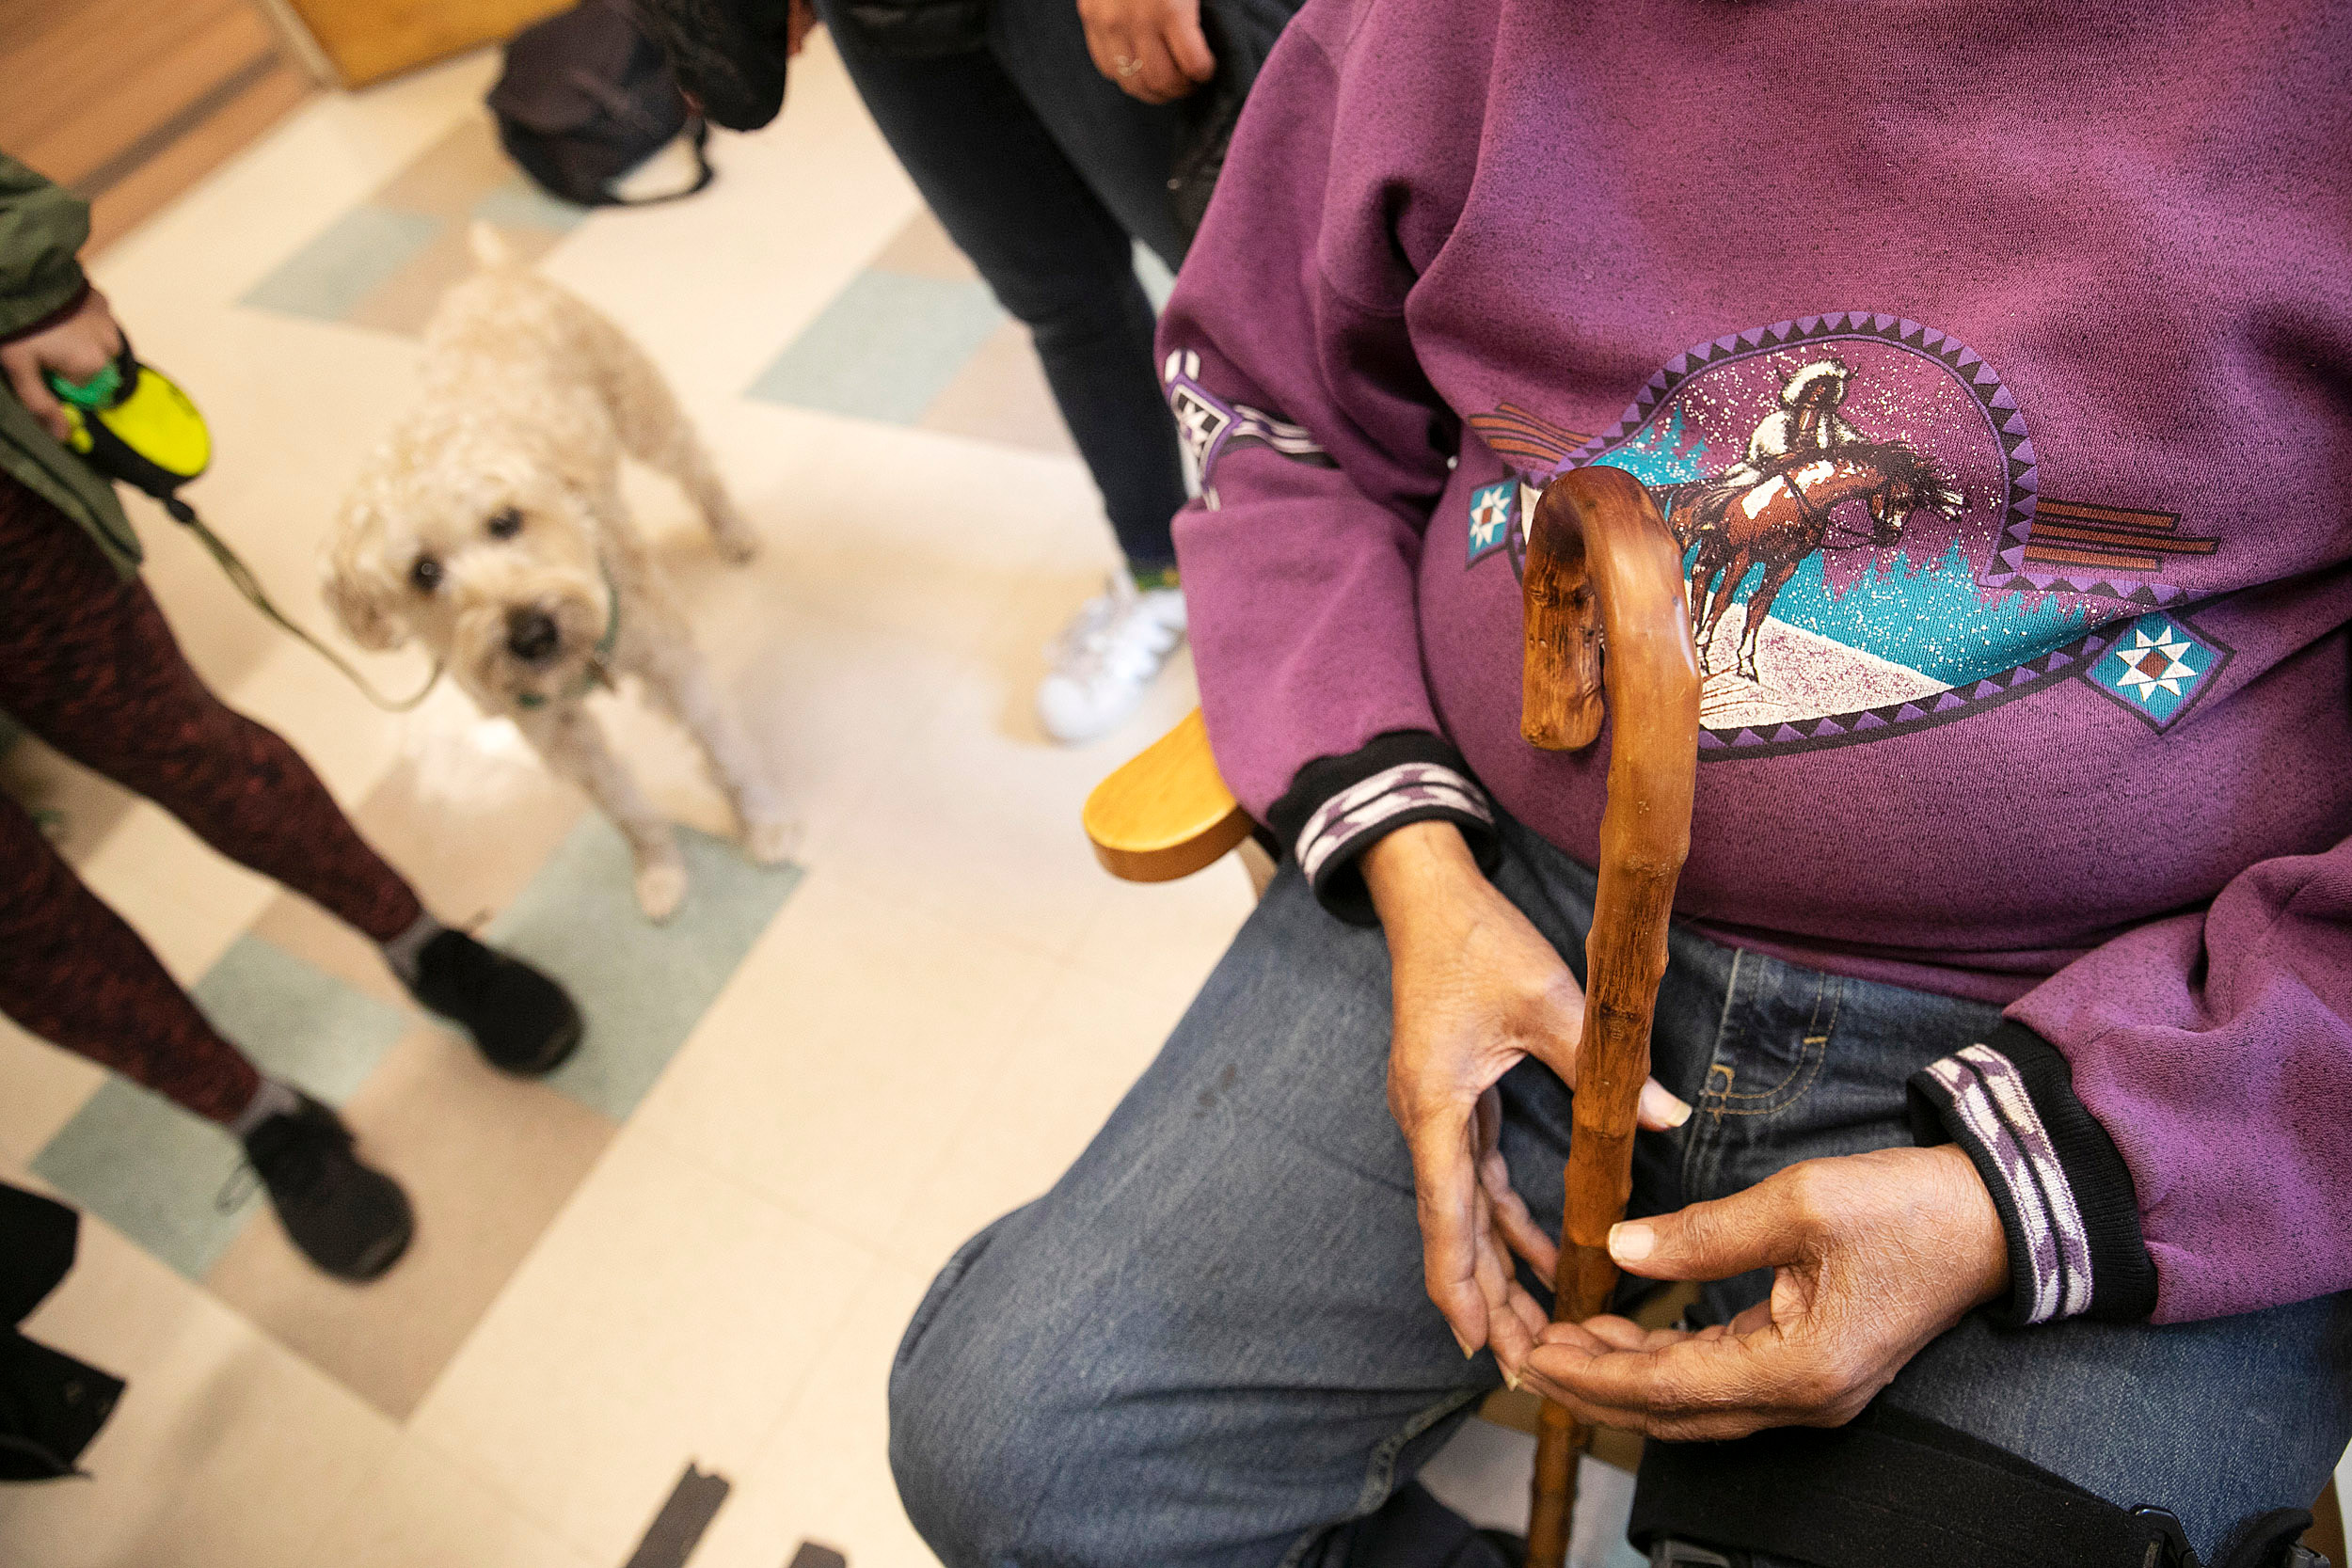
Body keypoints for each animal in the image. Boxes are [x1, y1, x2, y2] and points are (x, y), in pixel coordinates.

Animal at [326, 231, 795, 921]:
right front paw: (659, 871)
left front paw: (764, 825)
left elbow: (726, 754)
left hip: (643, 412)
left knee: (698, 468)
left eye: (505, 521)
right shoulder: (556, 733)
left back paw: (733, 532)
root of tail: (497, 275)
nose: (530, 633)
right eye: (424, 571)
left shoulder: (674, 668)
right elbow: (625, 809)